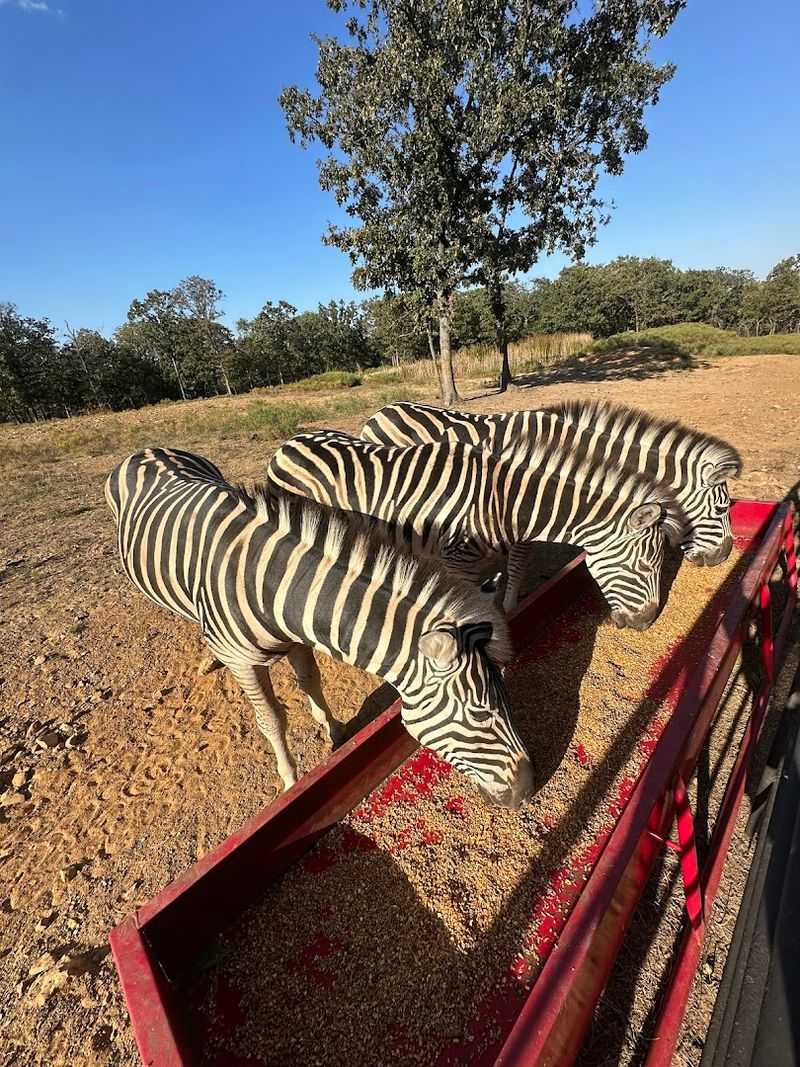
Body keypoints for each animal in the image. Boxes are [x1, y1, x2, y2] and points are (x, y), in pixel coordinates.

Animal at [105, 447, 533, 807]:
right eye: (480, 712)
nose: (529, 786)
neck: (276, 585)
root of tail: (148, 450)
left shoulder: (296, 639)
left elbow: (312, 682)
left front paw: (335, 731)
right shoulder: (245, 664)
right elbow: (272, 720)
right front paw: (290, 780)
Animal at [267, 431, 686, 628]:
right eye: (646, 565)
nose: (648, 621)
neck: (501, 499)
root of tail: (288, 442)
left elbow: (513, 574)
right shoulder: (459, 559)